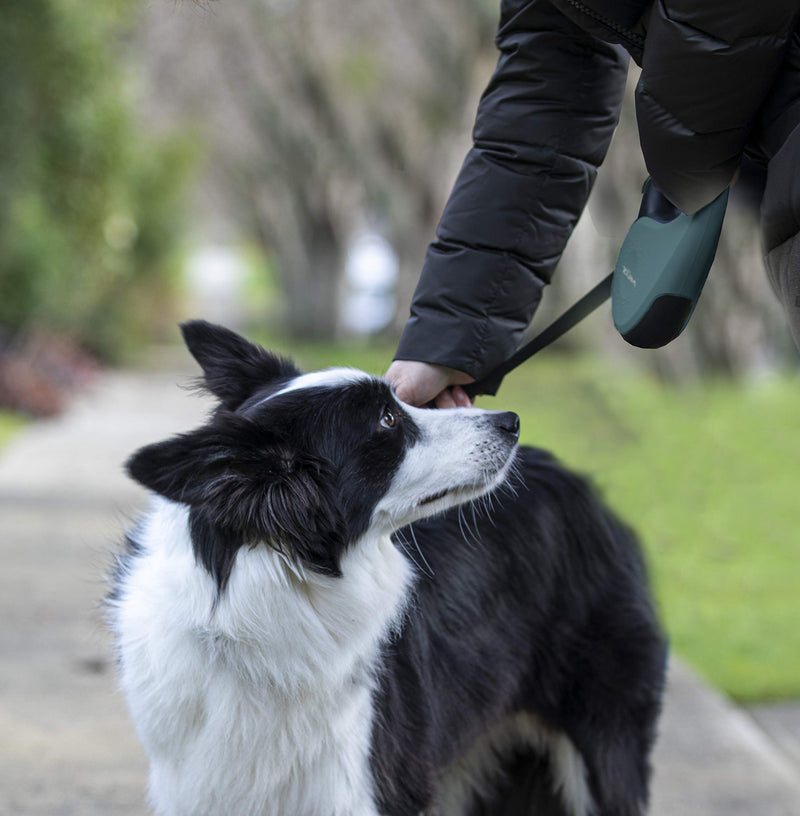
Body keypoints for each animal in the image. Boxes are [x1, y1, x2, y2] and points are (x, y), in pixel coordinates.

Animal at [108, 322, 668, 816]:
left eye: (397, 404)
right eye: (387, 421)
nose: (509, 421)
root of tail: (583, 485)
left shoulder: (364, 785)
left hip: (603, 747)